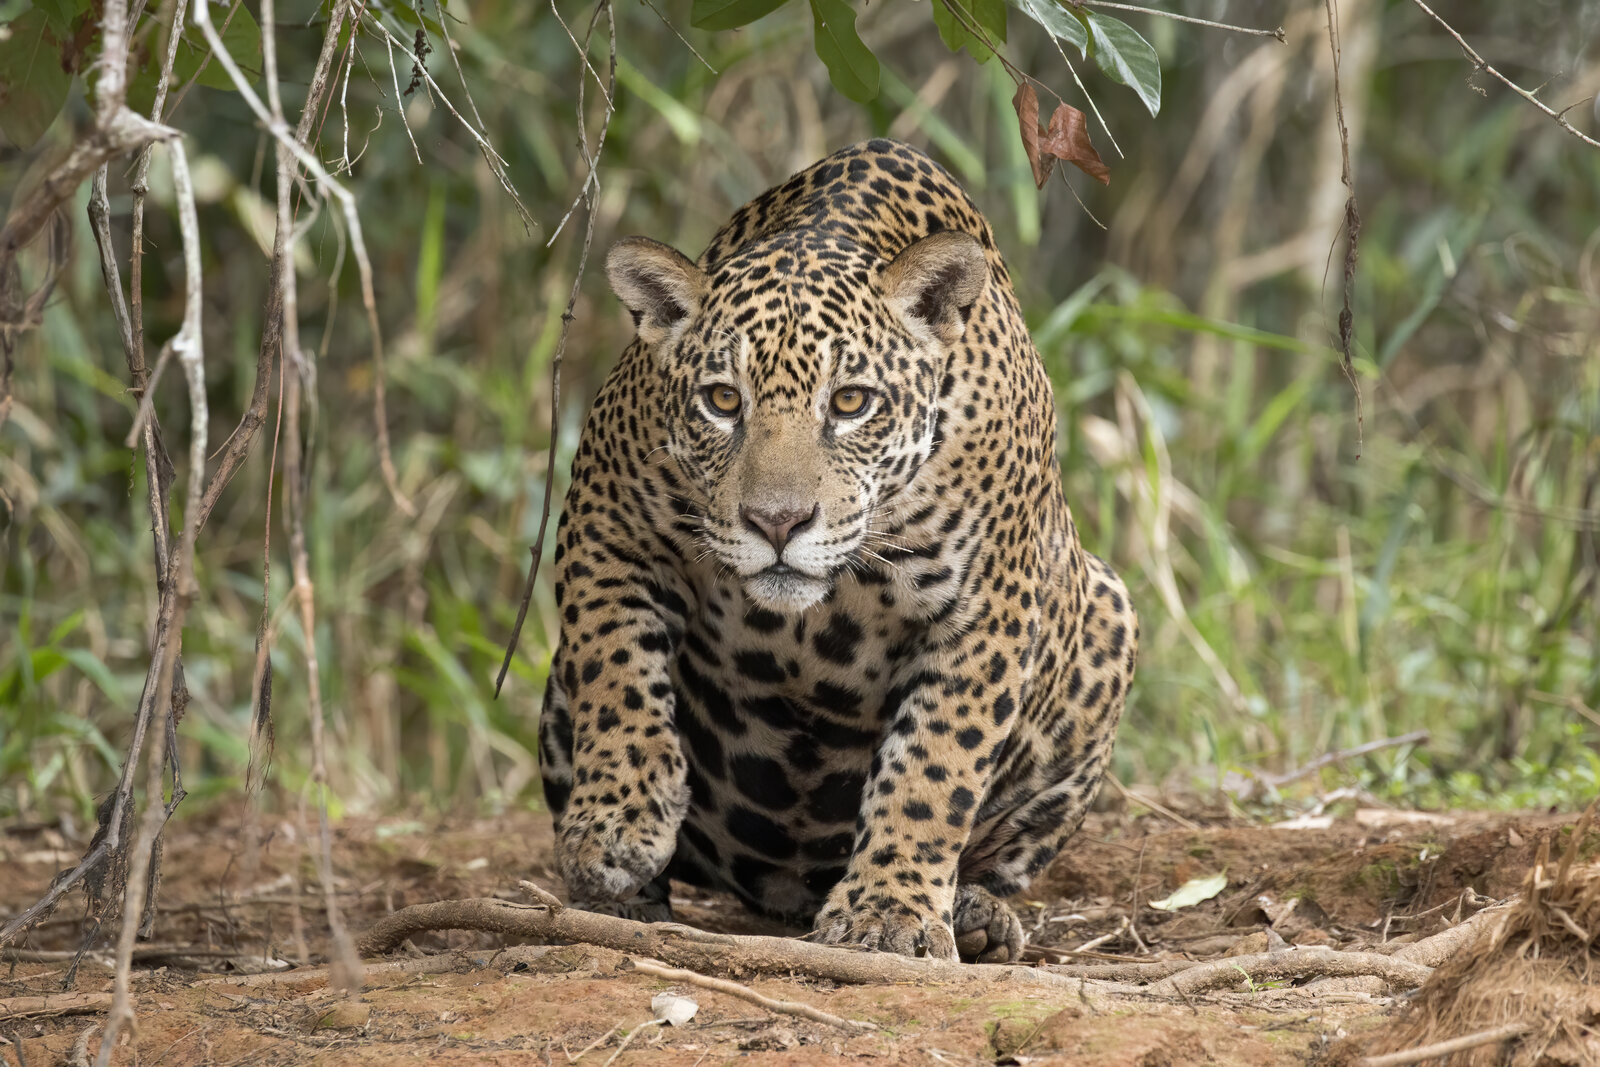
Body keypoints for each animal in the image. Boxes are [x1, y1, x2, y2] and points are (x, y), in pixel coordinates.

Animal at [537, 138, 1137, 964]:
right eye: (722, 400)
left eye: (851, 402)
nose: (777, 521)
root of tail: (785, 889)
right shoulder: (606, 519)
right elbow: (616, 667)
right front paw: (615, 824)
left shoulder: (987, 609)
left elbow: (935, 764)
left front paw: (889, 908)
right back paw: (622, 900)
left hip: (1108, 615)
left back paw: (976, 915)